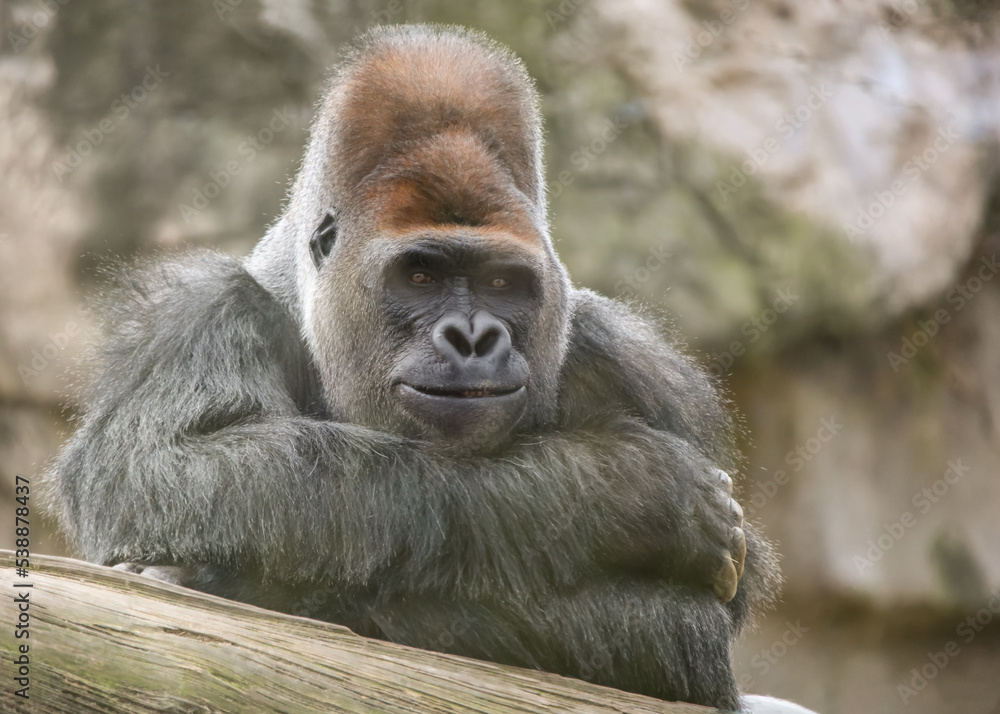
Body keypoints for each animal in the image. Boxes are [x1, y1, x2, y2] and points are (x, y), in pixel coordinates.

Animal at [48, 24, 783, 711]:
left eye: (501, 283)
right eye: (421, 274)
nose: (472, 337)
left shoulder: (633, 364)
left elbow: (694, 628)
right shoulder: (196, 315)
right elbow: (159, 468)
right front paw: (623, 490)